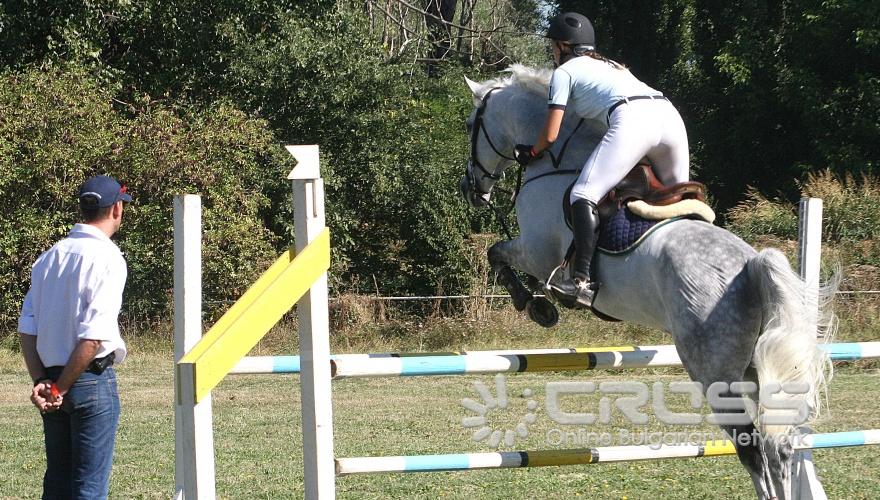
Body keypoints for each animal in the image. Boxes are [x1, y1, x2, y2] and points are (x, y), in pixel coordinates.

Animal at [464, 64, 836, 498]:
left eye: (471, 124)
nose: (470, 189)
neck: (558, 163)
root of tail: (750, 263)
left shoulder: (538, 252)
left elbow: (496, 254)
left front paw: (537, 304)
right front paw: (540, 303)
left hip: (715, 372)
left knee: (752, 447)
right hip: (755, 369)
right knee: (781, 444)